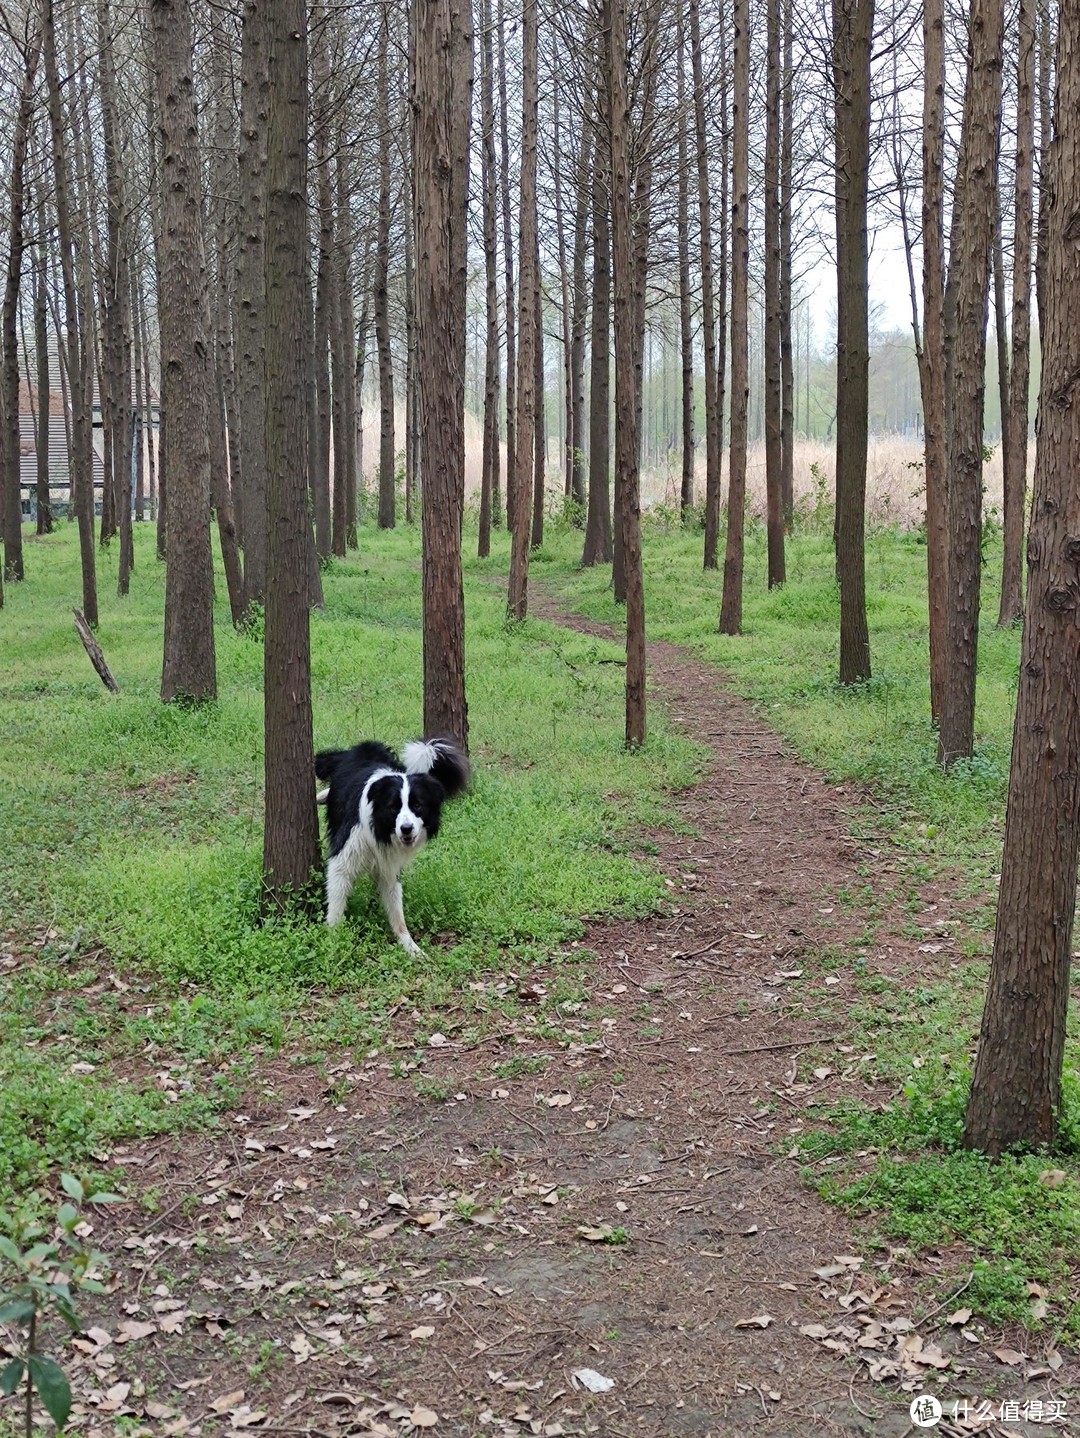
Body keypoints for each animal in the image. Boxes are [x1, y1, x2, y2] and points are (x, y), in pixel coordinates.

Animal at [310, 742, 465, 954]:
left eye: (418, 805)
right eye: (393, 807)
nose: (406, 829)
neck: (380, 830)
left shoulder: (390, 866)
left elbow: (396, 909)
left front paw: (412, 948)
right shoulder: (344, 857)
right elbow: (336, 902)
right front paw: (332, 940)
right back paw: (321, 795)